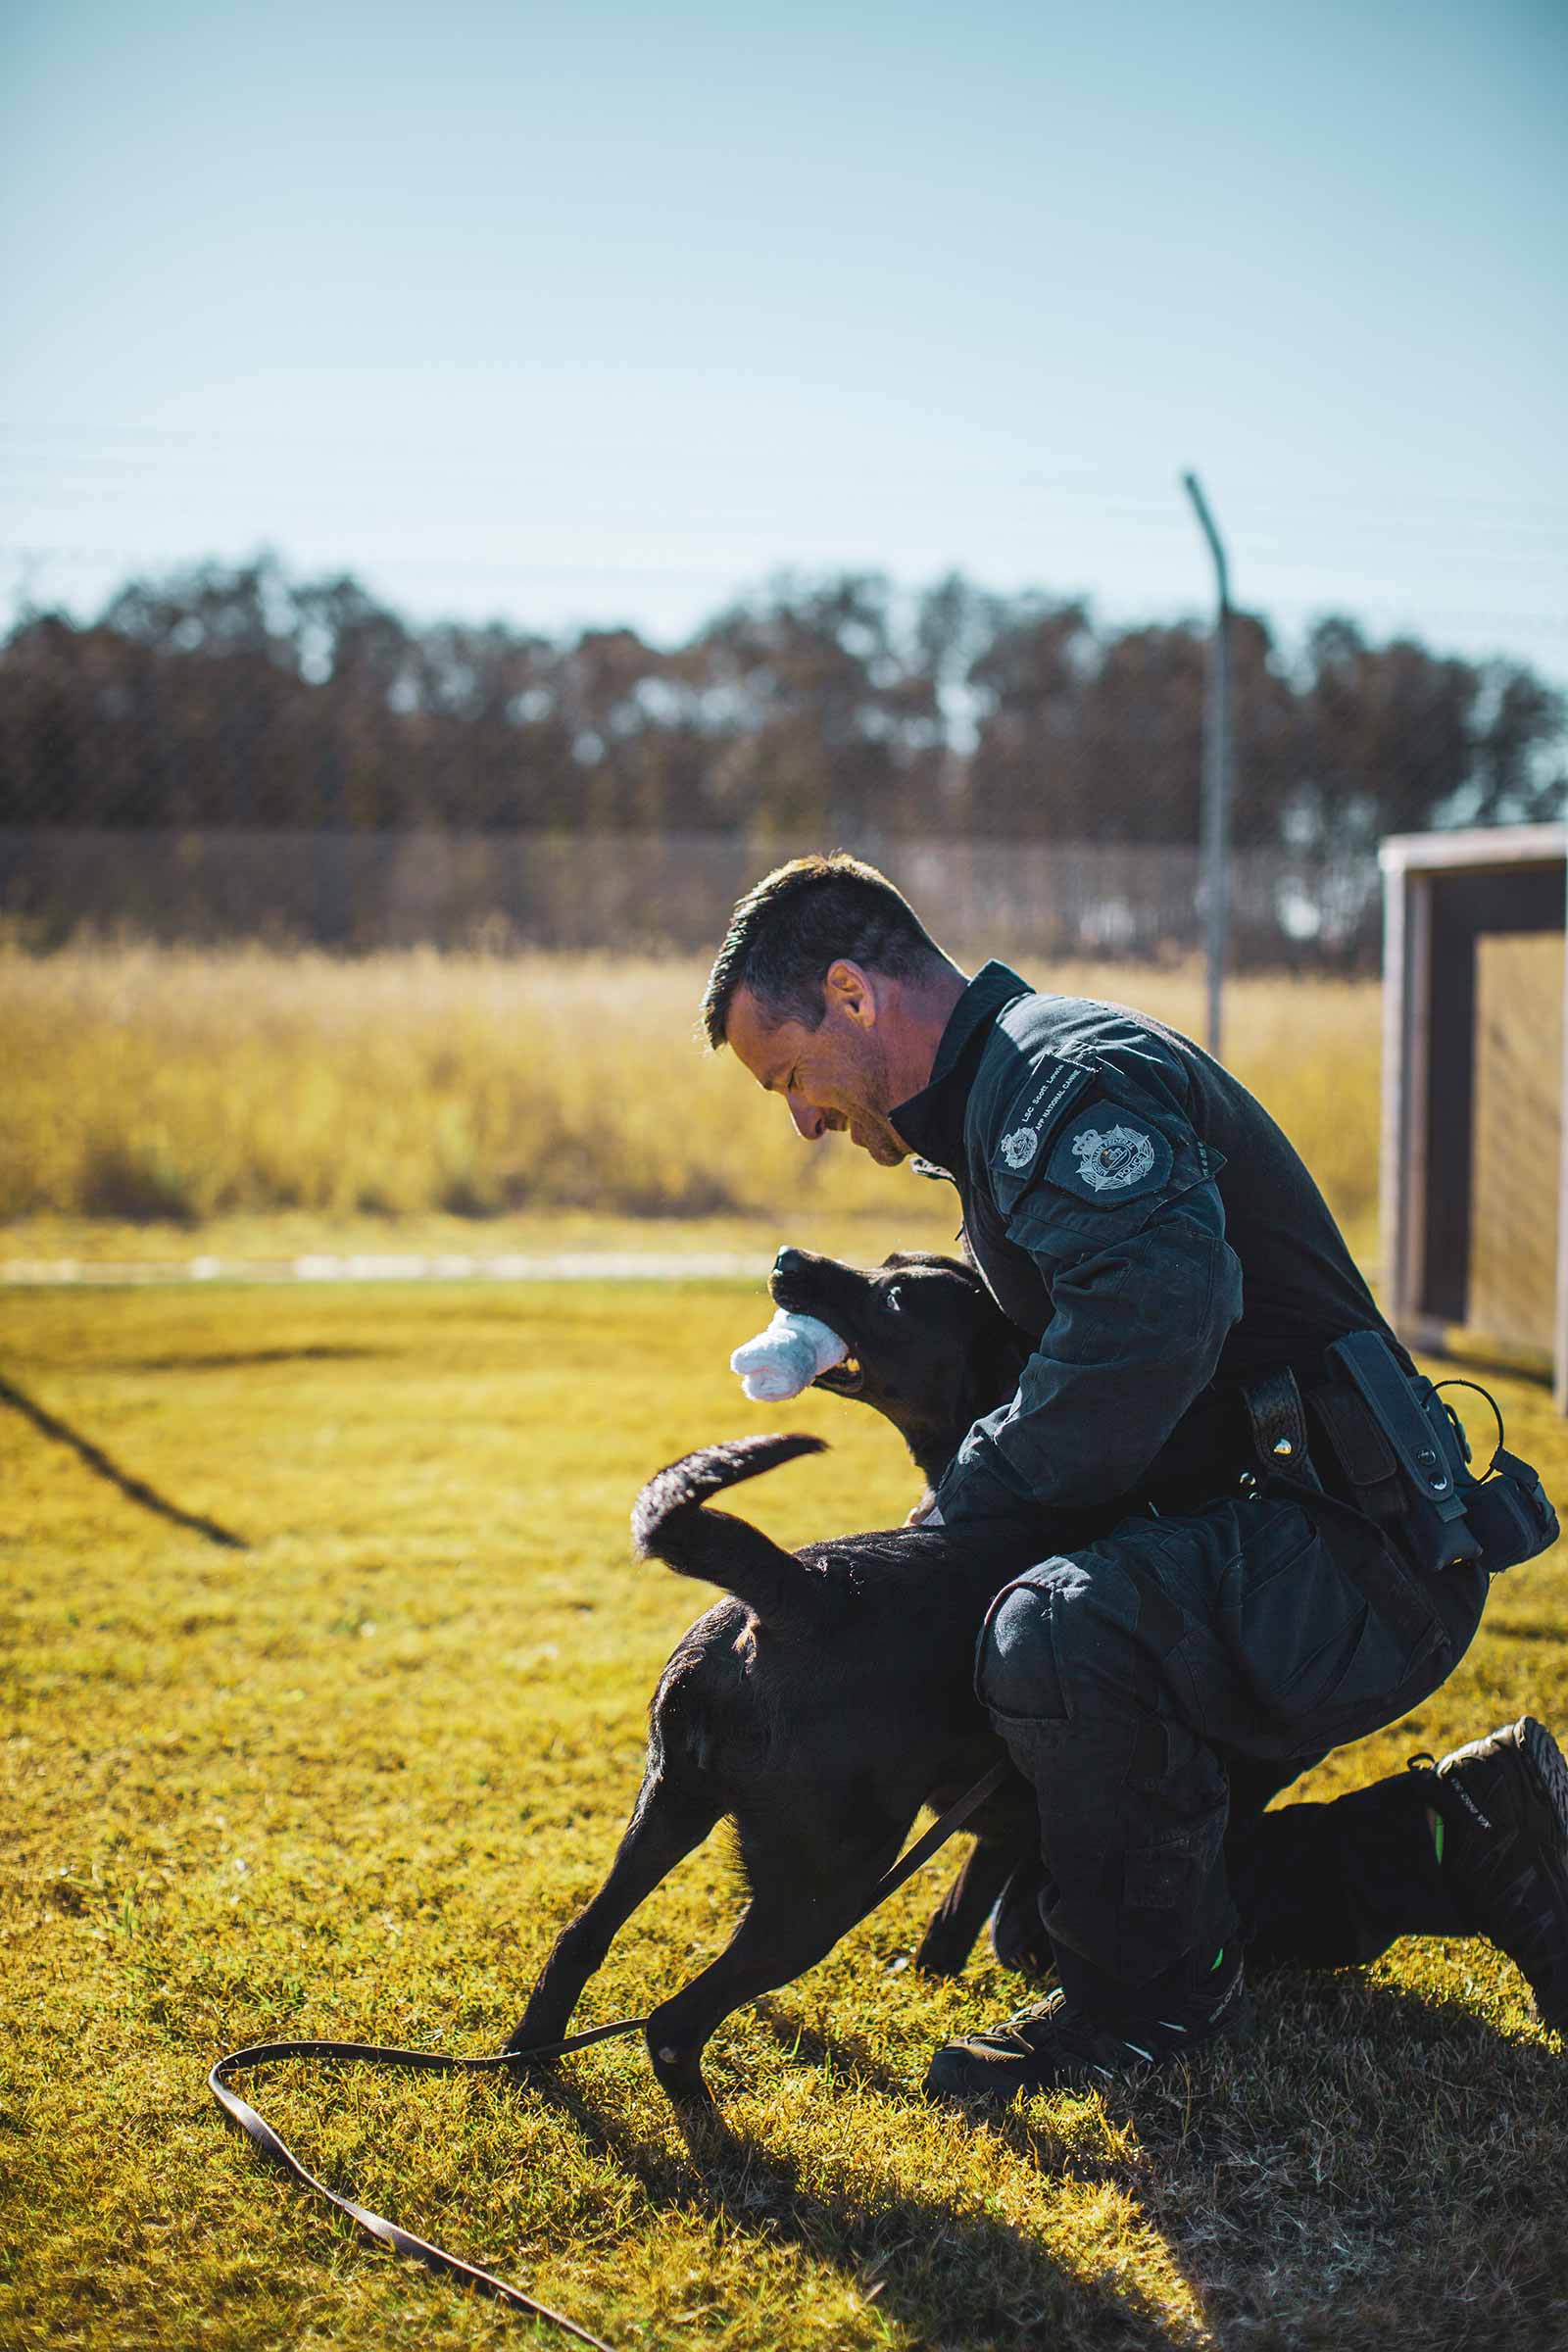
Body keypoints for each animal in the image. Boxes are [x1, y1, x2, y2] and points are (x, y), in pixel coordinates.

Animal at [512, 1250, 1053, 2135]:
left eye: (896, 1291)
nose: (788, 1260)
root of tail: (795, 1590)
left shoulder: (1002, 1813)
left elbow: (968, 1906)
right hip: (828, 1884)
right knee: (672, 2023)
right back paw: (719, 2143)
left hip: (671, 1807)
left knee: (577, 1941)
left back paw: (531, 2059)